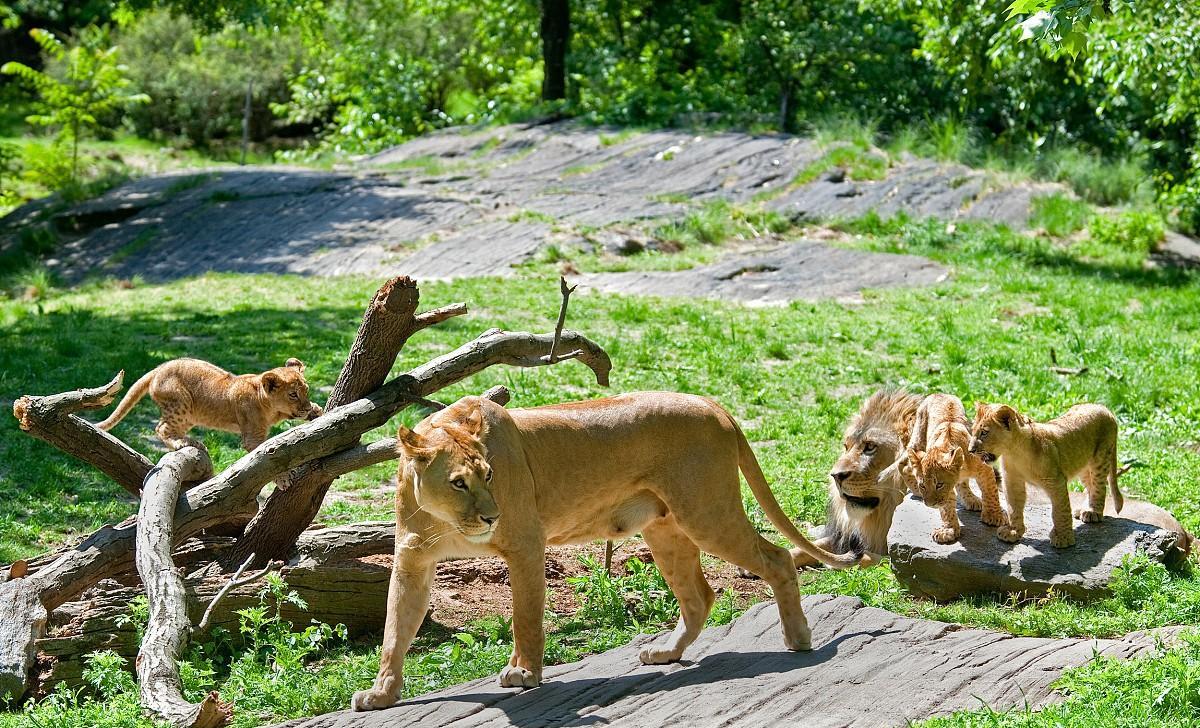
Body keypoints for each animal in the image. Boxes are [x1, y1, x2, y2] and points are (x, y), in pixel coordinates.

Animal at [94, 357, 319, 453]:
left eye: (306, 390)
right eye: (293, 394)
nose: (307, 407)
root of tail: (159, 368)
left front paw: (316, 411)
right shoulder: (252, 437)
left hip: (190, 415)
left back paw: (191, 441)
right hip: (181, 402)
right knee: (161, 428)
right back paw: (182, 444)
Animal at [350, 393, 868, 710]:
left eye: (490, 474)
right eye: (459, 482)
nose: (493, 516)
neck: (444, 517)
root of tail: (711, 403)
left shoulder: (526, 544)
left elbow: (525, 617)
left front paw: (524, 674)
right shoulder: (411, 562)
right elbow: (394, 631)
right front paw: (380, 695)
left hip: (707, 514)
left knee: (776, 559)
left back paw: (798, 639)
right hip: (666, 530)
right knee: (700, 595)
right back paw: (666, 653)